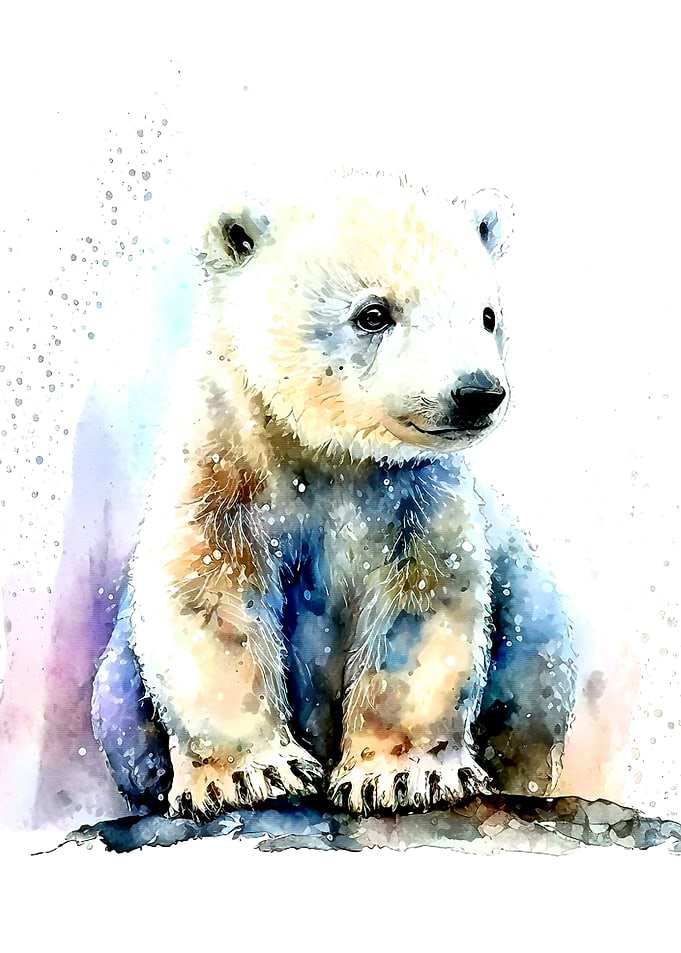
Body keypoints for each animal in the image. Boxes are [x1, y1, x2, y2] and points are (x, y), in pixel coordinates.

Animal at [91, 172, 576, 819]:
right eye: (373, 313)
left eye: (486, 314)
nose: (477, 392)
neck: (331, 457)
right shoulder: (224, 467)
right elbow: (208, 598)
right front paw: (248, 775)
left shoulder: (415, 495)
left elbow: (419, 608)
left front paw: (402, 776)